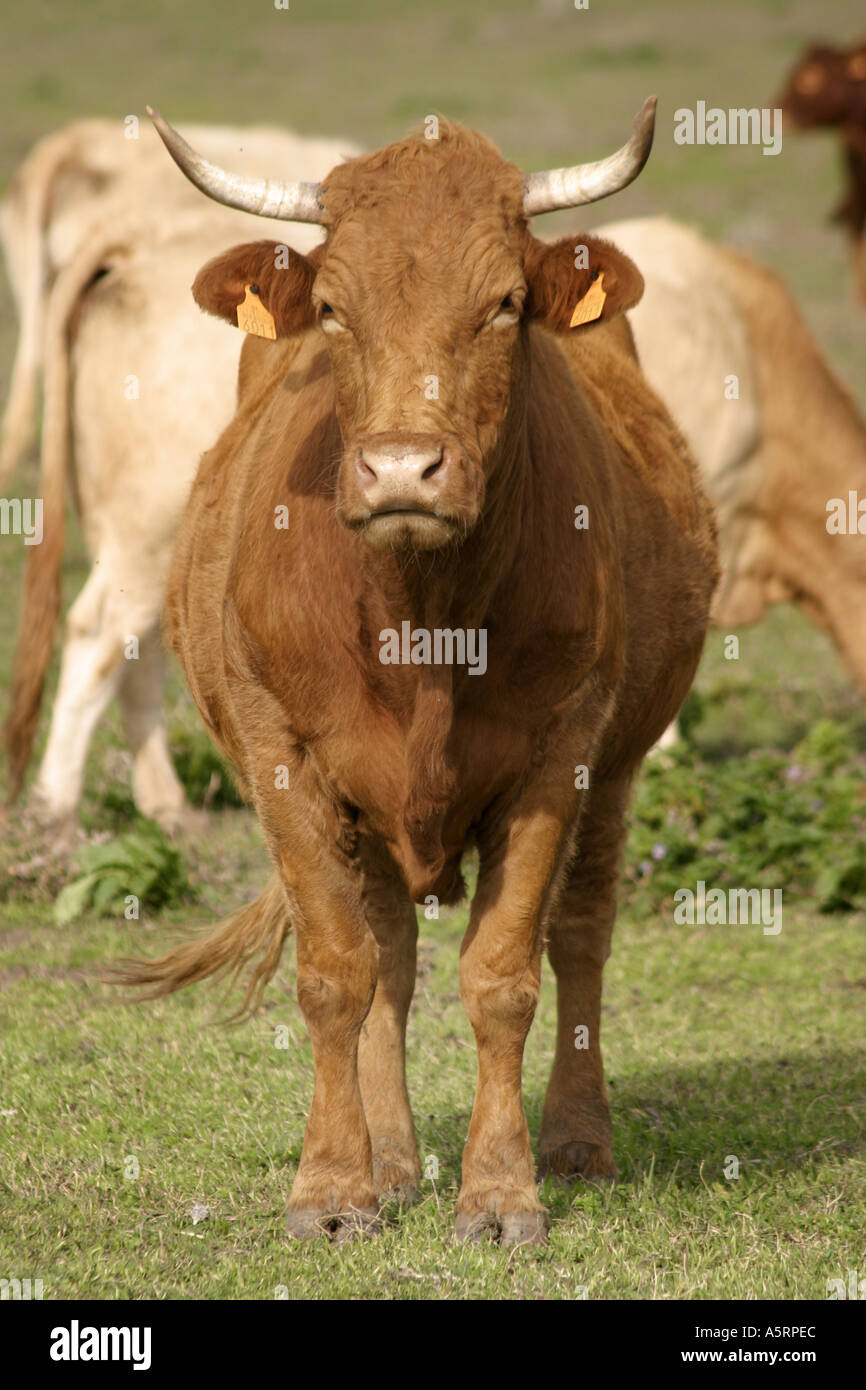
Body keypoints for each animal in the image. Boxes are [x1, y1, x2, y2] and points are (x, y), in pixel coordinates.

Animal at [107, 102, 719, 1245]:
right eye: (331, 310)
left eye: (505, 304)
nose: (401, 469)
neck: (421, 624)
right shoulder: (284, 756)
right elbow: (338, 971)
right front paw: (333, 1187)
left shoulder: (558, 755)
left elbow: (503, 975)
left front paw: (501, 1192)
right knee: (387, 956)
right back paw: (391, 1161)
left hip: (616, 768)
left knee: (581, 939)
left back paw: (578, 1140)